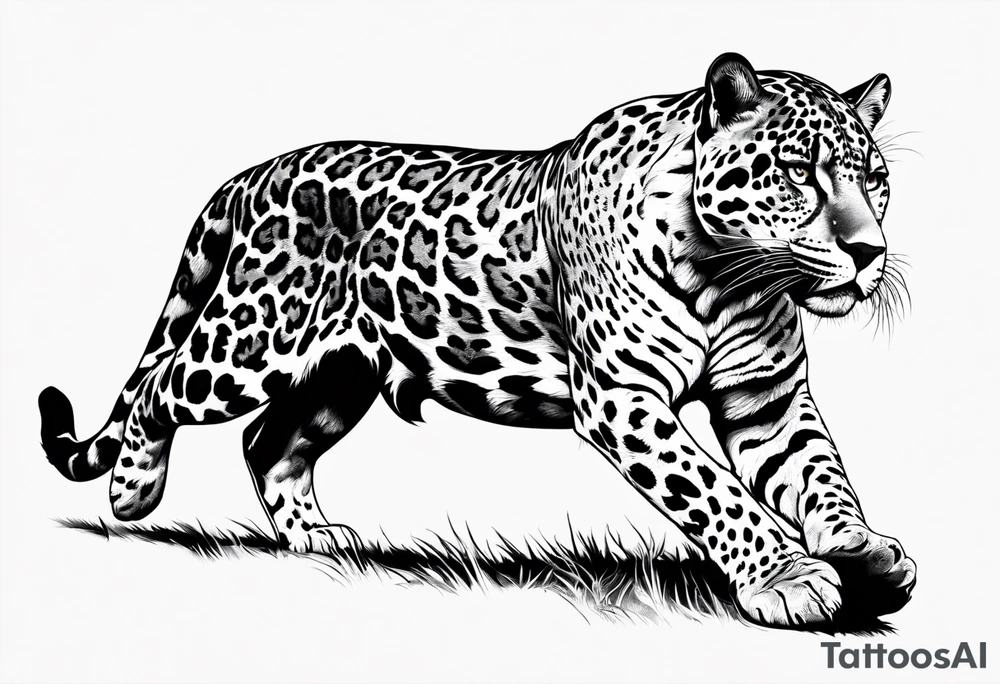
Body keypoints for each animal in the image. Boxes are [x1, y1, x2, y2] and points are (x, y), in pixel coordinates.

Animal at [38, 53, 915, 627]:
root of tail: (251, 175)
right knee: (165, 387)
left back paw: (315, 538)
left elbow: (821, 475)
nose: (868, 251)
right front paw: (788, 578)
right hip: (252, 339)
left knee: (269, 441)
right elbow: (713, 493)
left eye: (876, 180)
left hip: (340, 374)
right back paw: (132, 493)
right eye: (798, 172)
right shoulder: (624, 399)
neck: (731, 276)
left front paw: (861, 549)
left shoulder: (766, 397)